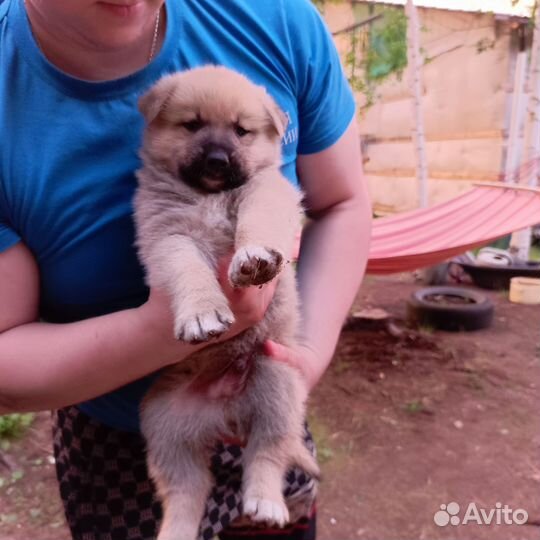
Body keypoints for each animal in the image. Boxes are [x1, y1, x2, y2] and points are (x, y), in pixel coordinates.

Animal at [133, 67, 318, 540]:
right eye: (192, 124)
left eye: (241, 130)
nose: (217, 160)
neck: (209, 196)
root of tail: (225, 417)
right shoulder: (168, 236)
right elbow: (189, 270)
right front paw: (201, 313)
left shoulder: (265, 193)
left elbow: (257, 222)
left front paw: (253, 259)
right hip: (166, 429)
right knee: (187, 491)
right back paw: (176, 531)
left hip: (275, 385)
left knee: (266, 455)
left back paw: (266, 503)